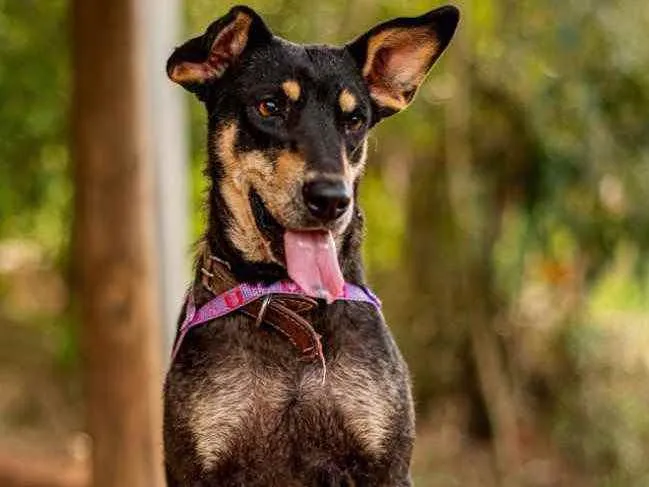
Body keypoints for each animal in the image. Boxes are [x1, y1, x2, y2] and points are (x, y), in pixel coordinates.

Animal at [165, 4, 458, 487]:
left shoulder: (385, 466)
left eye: (354, 120)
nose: (332, 199)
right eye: (270, 106)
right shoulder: (198, 466)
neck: (290, 302)